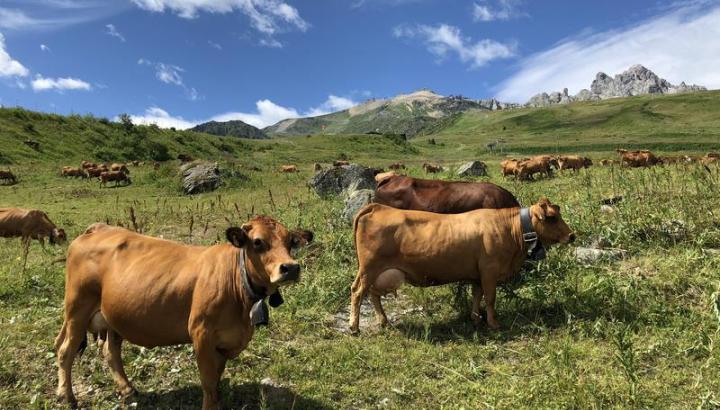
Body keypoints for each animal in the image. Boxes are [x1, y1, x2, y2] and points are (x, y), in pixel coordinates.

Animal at [54, 218, 313, 409]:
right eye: (258, 242)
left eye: (291, 241)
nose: (290, 267)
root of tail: (98, 228)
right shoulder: (202, 334)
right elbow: (208, 382)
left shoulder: (224, 342)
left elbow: (216, 379)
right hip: (77, 308)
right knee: (65, 350)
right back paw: (67, 396)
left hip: (114, 316)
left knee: (110, 351)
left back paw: (127, 389)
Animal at [349, 198, 574, 333]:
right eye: (552, 217)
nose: (572, 235)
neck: (510, 228)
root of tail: (378, 207)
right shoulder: (489, 271)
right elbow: (490, 298)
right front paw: (493, 323)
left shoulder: (477, 274)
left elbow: (477, 295)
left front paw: (476, 319)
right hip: (369, 268)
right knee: (357, 292)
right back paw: (354, 327)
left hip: (375, 272)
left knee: (373, 295)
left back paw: (384, 322)